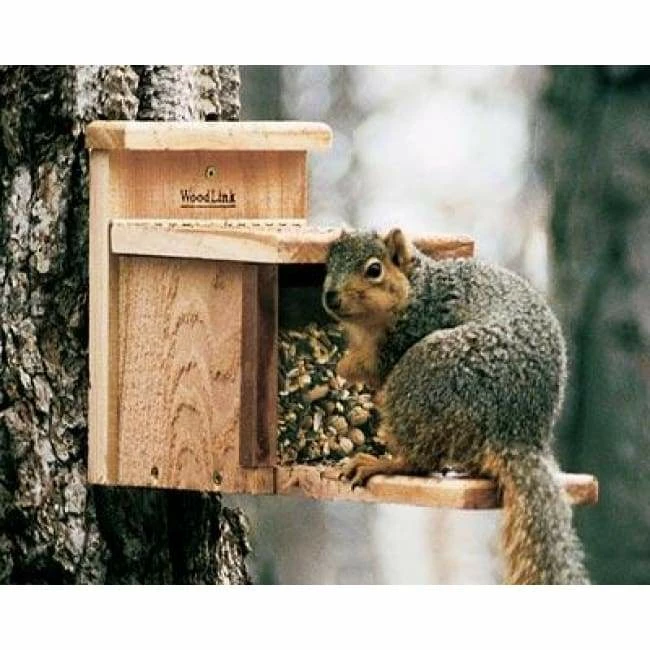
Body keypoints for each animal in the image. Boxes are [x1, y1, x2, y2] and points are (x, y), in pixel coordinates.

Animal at [322, 228, 589, 585]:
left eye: (374, 270)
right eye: (328, 264)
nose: (330, 297)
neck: (416, 287)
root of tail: (517, 431)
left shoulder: (410, 331)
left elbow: (370, 368)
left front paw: (342, 365)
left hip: (420, 377)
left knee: (420, 460)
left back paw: (380, 464)